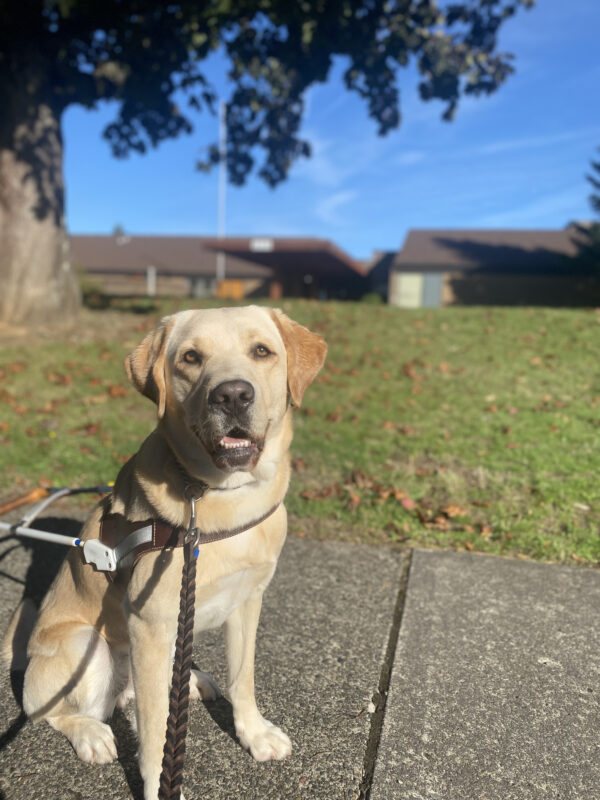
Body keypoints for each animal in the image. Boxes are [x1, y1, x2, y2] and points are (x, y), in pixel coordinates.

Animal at [11, 308, 326, 800]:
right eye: (191, 358)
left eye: (262, 351)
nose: (232, 395)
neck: (221, 497)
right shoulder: (150, 623)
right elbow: (159, 731)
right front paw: (160, 785)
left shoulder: (247, 601)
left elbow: (243, 677)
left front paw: (253, 733)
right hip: (86, 646)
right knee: (49, 711)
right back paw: (90, 733)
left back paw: (192, 681)